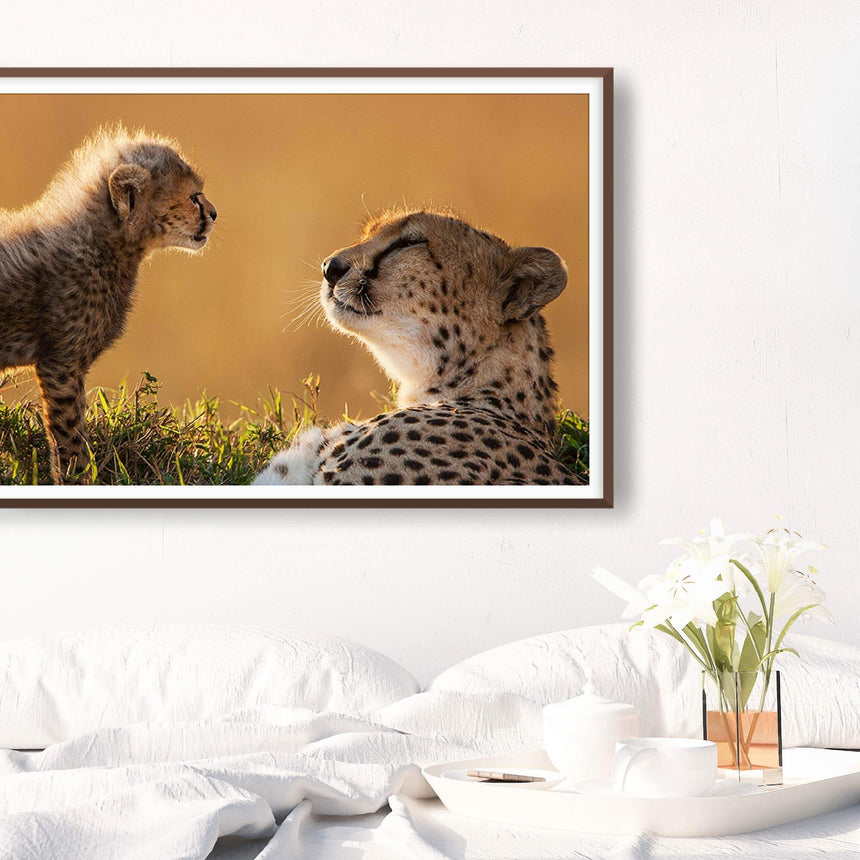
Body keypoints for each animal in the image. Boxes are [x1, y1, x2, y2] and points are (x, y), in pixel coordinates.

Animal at [0, 127, 217, 483]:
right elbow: (70, 436)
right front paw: (76, 480)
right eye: (193, 196)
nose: (213, 213)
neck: (102, 241)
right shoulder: (61, 362)